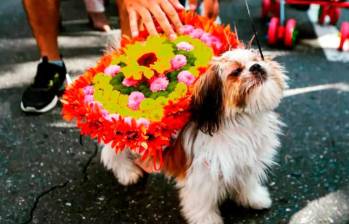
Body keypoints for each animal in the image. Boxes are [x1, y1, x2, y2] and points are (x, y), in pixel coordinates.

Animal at [99, 48, 286, 223]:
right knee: (111, 153)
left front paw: (254, 199)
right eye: (236, 71)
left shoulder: (245, 161)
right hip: (124, 131)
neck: (241, 120)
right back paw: (127, 172)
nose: (256, 66)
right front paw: (206, 219)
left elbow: (247, 183)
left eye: (257, 59)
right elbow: (202, 200)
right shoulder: (203, 173)